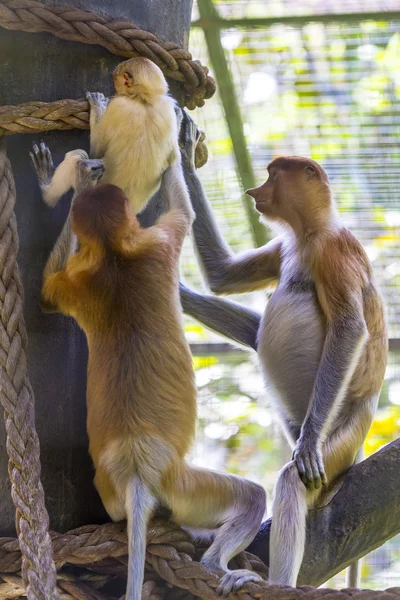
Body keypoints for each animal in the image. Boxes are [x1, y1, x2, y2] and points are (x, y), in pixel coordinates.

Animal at [38, 113, 266, 600]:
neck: (113, 250)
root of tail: (138, 475)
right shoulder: (161, 239)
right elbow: (183, 213)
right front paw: (180, 146)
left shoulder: (77, 282)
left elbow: (46, 293)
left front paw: (77, 181)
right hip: (184, 485)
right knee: (251, 496)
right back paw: (218, 565)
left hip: (112, 491)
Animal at [178, 116, 388, 584]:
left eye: (273, 175)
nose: (254, 191)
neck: (310, 233)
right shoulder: (284, 246)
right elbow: (222, 277)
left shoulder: (334, 252)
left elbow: (350, 329)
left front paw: (307, 446)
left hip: (347, 428)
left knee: (295, 480)